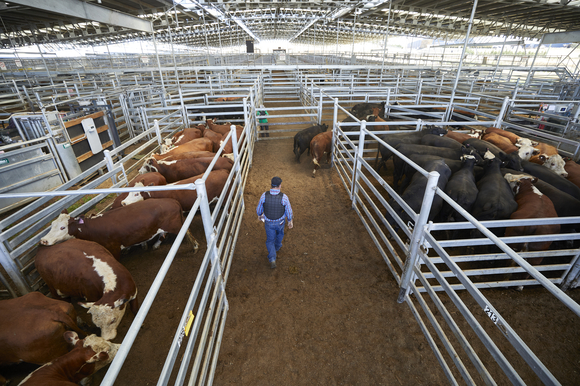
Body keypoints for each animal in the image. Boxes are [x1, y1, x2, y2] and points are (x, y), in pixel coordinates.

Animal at [40, 198, 199, 258]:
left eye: (62, 227)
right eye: (51, 225)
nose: (43, 241)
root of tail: (172, 201)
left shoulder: (113, 248)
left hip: (177, 225)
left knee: (188, 233)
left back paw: (195, 246)